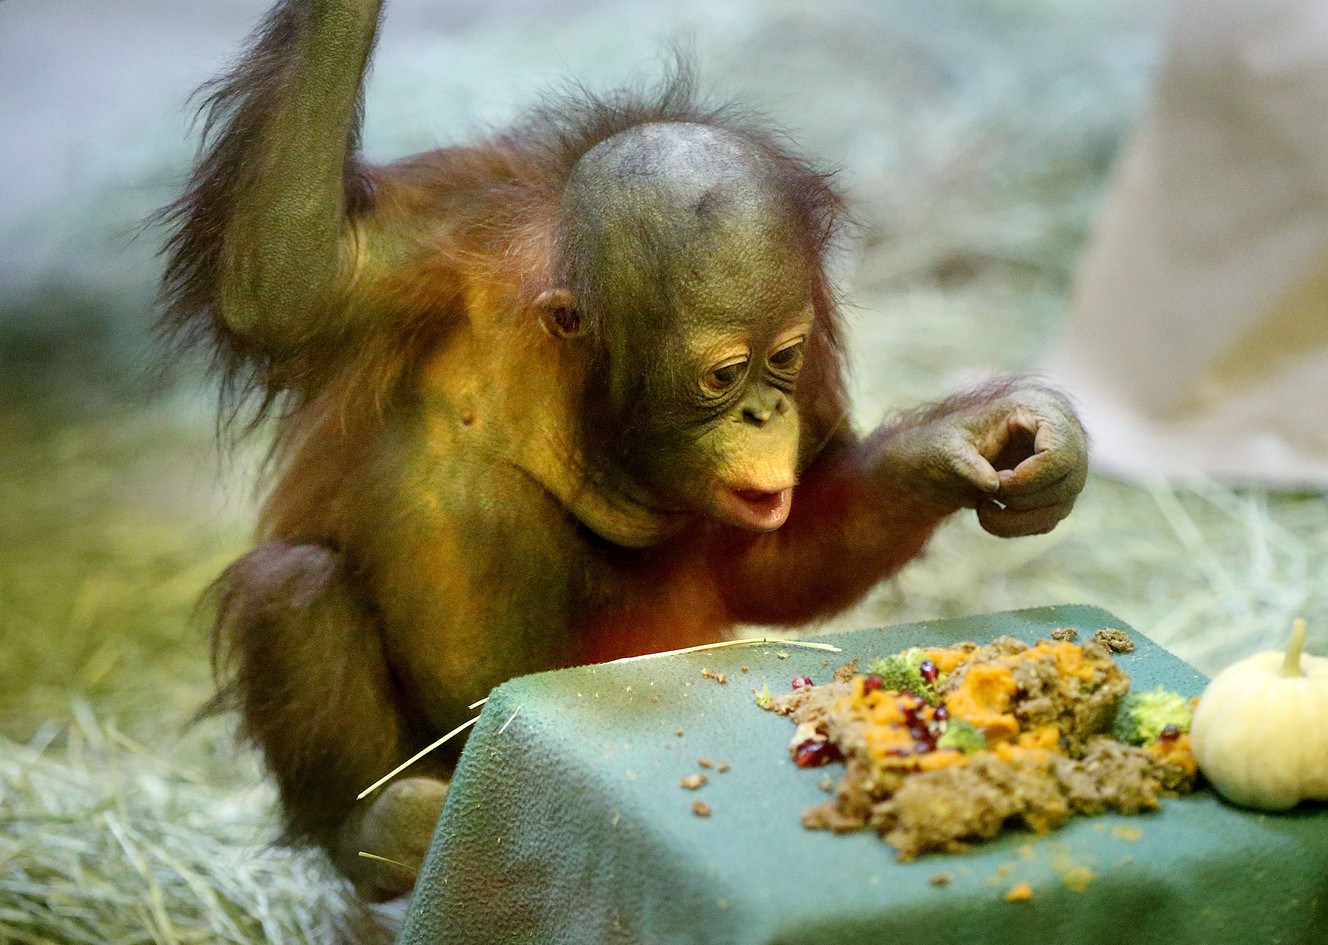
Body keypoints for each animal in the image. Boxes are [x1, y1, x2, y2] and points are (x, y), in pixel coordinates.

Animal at [159, 0, 1089, 901]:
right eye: (725, 374)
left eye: (785, 358)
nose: (765, 412)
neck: (574, 354)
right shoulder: (448, 229)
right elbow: (286, 283)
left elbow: (772, 558)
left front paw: (981, 439)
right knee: (293, 586)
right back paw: (374, 827)